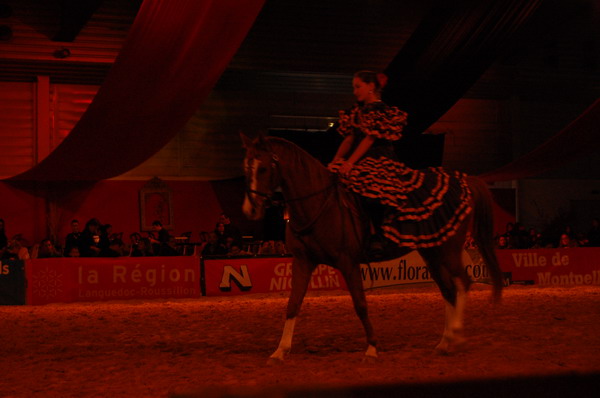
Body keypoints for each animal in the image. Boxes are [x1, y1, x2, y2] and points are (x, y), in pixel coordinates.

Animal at [239, 132, 502, 362]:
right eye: (245, 168)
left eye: (263, 168)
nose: (250, 210)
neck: (319, 204)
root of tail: (465, 180)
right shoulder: (303, 261)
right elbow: (293, 304)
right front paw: (279, 351)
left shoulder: (348, 262)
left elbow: (361, 305)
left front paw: (372, 349)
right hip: (433, 252)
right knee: (449, 291)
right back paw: (444, 342)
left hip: (448, 249)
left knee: (463, 283)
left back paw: (456, 337)